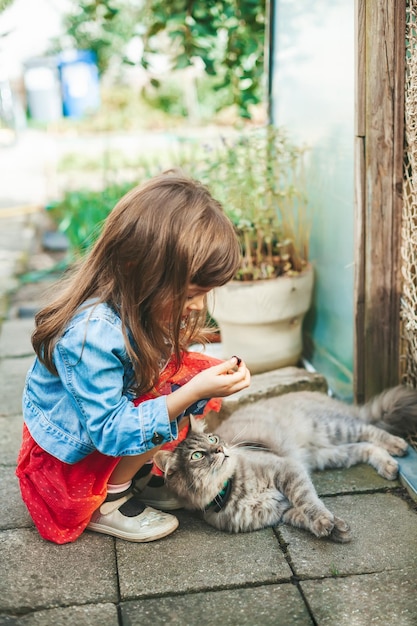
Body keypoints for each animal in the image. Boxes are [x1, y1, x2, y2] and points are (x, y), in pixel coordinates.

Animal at [154, 382, 416, 540]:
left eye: (212, 438)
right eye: (198, 455)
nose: (220, 448)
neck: (233, 490)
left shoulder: (288, 471)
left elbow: (309, 503)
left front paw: (325, 521)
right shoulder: (282, 511)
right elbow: (303, 517)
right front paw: (333, 527)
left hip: (334, 429)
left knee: (371, 430)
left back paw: (398, 446)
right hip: (331, 454)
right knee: (366, 447)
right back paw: (388, 465)